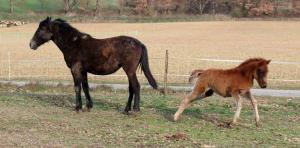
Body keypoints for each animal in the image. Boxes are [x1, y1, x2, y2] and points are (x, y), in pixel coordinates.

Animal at [29, 17, 158, 112]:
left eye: (41, 29)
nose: (31, 44)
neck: (73, 43)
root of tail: (139, 43)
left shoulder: (75, 69)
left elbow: (77, 87)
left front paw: (78, 108)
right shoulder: (83, 71)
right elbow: (85, 87)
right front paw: (88, 106)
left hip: (129, 71)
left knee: (136, 86)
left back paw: (135, 109)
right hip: (129, 71)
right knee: (131, 88)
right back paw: (126, 109)